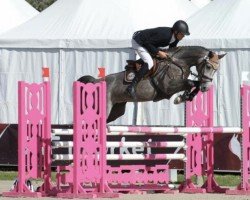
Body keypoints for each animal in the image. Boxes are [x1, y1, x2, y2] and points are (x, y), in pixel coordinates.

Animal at [78, 46, 227, 122]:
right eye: (208, 66)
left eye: (216, 69)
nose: (206, 88)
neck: (179, 62)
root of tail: (95, 81)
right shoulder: (168, 87)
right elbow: (190, 82)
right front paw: (181, 98)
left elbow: (194, 83)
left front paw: (186, 96)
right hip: (104, 107)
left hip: (116, 110)